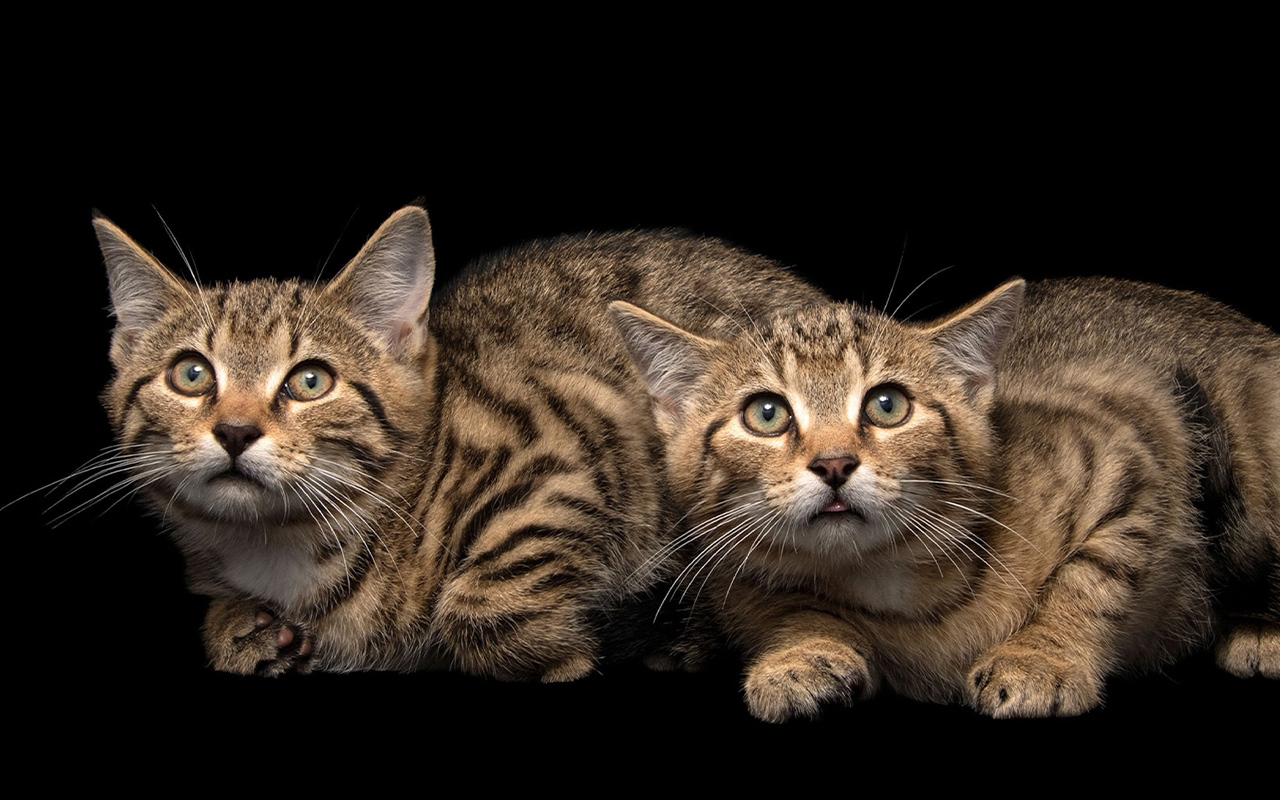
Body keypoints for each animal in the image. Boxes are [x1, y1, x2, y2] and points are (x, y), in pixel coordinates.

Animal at [94, 202, 824, 675]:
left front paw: (562, 655)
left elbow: (484, 606)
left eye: (309, 380)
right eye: (191, 374)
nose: (236, 430)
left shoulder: (582, 437)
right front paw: (239, 630)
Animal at [611, 273, 1280, 716]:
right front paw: (799, 653)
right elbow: (781, 608)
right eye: (767, 413)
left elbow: (1092, 574)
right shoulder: (737, 574)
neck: (890, 581)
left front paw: (1043, 657)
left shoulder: (1128, 459)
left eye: (887, 404)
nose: (834, 463)